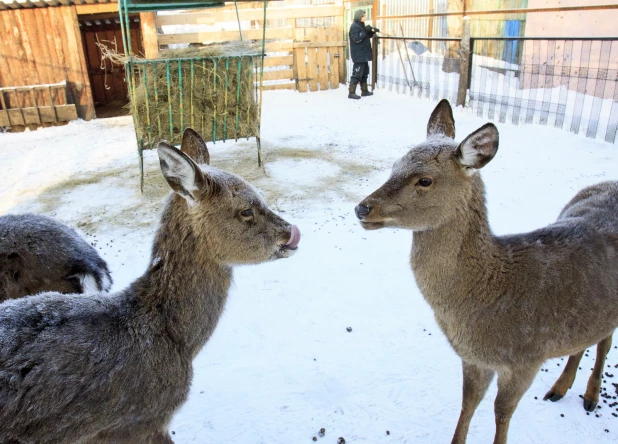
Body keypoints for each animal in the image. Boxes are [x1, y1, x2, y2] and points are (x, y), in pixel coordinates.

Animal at [352, 100, 616, 444]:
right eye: (394, 165)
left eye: (425, 180)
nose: (362, 208)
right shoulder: (472, 358)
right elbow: (468, 402)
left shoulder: (526, 358)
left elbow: (501, 413)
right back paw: (560, 388)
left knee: (605, 342)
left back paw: (590, 396)